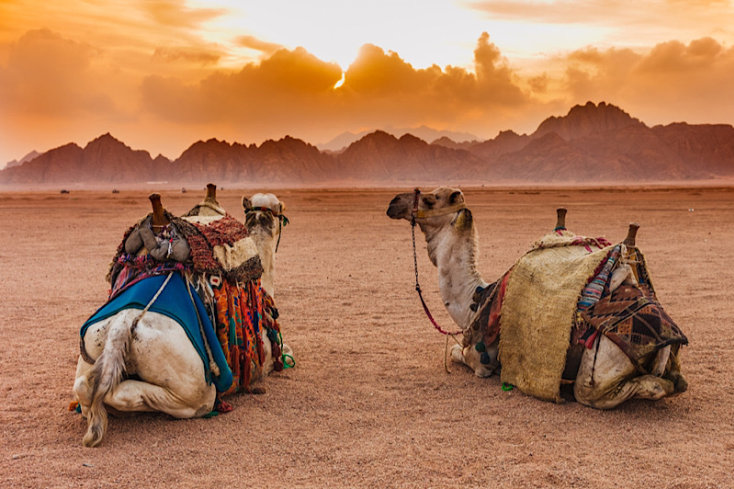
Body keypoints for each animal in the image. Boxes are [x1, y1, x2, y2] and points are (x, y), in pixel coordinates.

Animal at [73, 188, 292, 446]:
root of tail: (122, 323)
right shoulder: (264, 357)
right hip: (193, 384)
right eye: (281, 209)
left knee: (84, 387)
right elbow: (284, 352)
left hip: (91, 346)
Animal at [392, 187, 688, 408]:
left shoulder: (479, 360)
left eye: (431, 199)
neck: (475, 299)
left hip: (600, 368)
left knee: (614, 389)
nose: (394, 202)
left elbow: (456, 353)